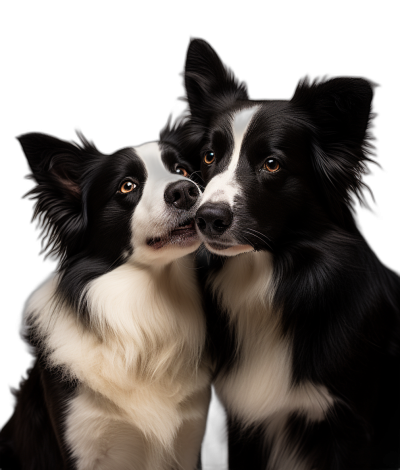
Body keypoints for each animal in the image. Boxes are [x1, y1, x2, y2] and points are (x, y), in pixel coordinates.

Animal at [182, 38, 400, 468]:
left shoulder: (349, 427)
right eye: (209, 157)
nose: (206, 218)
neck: (272, 280)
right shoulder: (245, 423)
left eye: (272, 164)